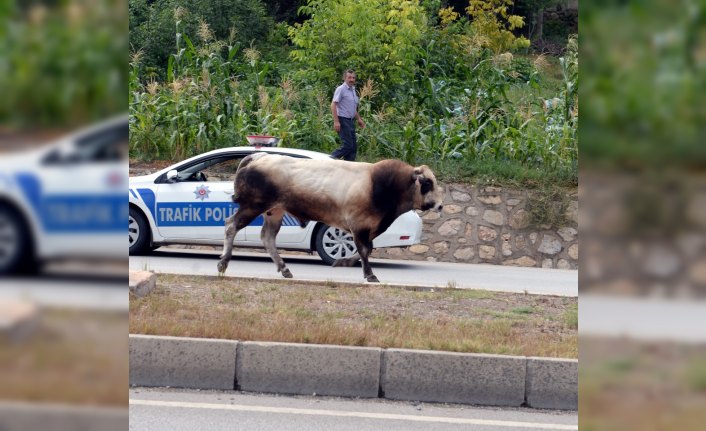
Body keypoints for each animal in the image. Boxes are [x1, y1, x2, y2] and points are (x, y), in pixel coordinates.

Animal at [217, 154, 442, 284]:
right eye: (427, 183)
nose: (440, 205)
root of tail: (257, 157)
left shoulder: (367, 228)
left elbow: (366, 249)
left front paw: (344, 262)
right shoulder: (359, 225)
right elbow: (364, 249)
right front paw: (370, 274)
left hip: (274, 212)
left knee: (267, 237)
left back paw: (284, 268)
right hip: (252, 206)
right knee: (231, 226)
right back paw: (223, 262)